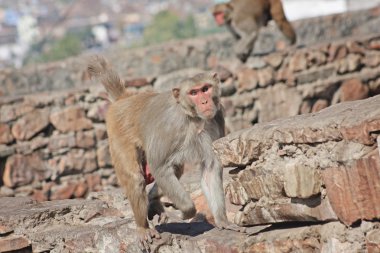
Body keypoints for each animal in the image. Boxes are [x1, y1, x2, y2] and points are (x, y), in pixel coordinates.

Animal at [87, 55, 243, 251]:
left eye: (205, 89)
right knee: (136, 178)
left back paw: (153, 200)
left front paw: (222, 220)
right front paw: (187, 211)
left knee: (175, 169)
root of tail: (125, 98)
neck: (192, 117)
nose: (205, 102)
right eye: (193, 93)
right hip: (118, 135)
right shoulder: (170, 125)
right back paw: (143, 227)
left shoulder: (217, 118)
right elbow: (159, 166)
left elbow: (210, 167)